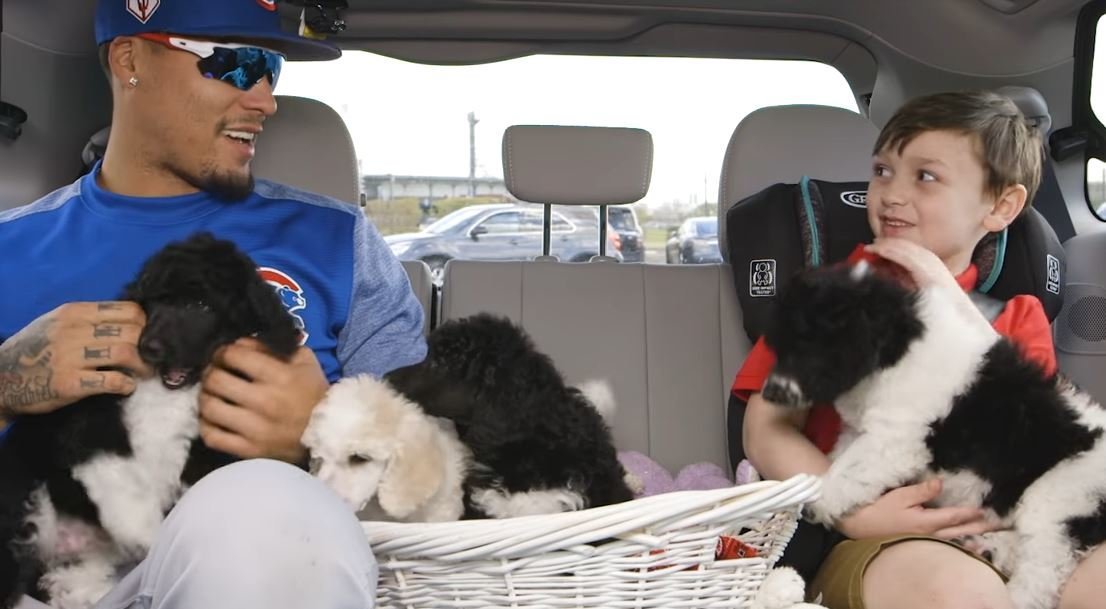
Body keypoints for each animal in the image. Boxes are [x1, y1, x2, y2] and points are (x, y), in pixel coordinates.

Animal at [0, 232, 300, 609]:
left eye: (201, 306)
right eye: (155, 303)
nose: (150, 348)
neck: (167, 392)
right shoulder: (91, 425)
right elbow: (123, 484)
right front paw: (151, 535)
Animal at [760, 260, 1106, 609]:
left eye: (807, 347)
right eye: (779, 347)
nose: (769, 394)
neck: (897, 349)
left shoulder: (894, 438)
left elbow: (849, 471)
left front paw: (819, 501)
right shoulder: (862, 430)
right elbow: (842, 462)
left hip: (1059, 506)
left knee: (1042, 574)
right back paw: (989, 547)